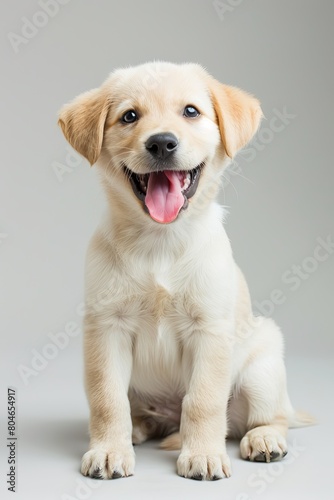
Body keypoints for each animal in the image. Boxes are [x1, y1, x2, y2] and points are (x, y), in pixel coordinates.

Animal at [58, 62, 314, 480]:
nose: (162, 143)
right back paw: (138, 429)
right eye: (130, 116)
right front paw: (109, 451)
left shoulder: (209, 329)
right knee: (138, 411)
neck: (160, 240)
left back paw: (264, 440)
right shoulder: (107, 327)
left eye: (191, 112)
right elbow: (107, 398)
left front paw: (203, 455)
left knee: (269, 418)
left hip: (263, 366)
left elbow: (203, 400)